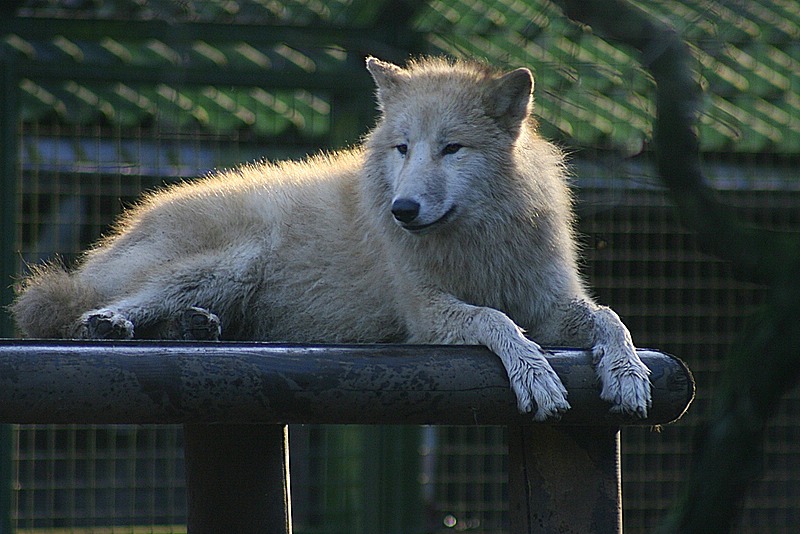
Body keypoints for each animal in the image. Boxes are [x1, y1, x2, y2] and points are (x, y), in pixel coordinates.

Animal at [11, 56, 651, 420]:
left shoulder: (549, 302)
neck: (477, 239)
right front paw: (537, 377)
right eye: (403, 148)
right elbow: (496, 322)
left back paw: (196, 328)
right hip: (236, 260)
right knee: (74, 313)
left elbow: (610, 318)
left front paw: (628, 375)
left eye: (452, 148)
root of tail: (124, 227)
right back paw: (112, 325)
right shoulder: (426, 311)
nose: (402, 209)